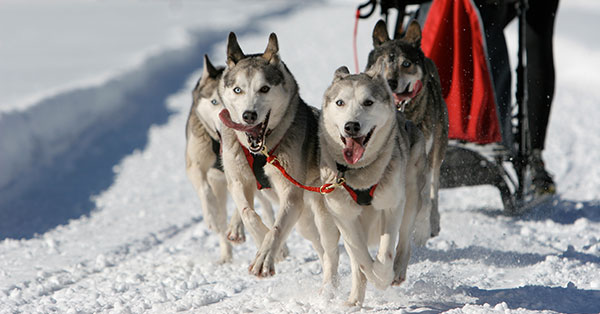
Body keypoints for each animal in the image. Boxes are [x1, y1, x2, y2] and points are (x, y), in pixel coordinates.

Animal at [184, 55, 276, 264]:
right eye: (214, 101)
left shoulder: (243, 174)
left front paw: (237, 226)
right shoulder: (195, 166)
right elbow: (205, 190)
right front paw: (210, 216)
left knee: (265, 209)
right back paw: (225, 253)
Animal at [217, 31, 340, 282]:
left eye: (264, 89)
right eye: (238, 90)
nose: (249, 115)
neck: (260, 151)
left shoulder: (290, 194)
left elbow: (276, 229)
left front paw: (265, 258)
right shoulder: (238, 181)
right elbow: (248, 213)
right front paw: (263, 239)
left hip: (318, 214)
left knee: (330, 251)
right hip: (304, 220)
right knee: (318, 245)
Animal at [322, 65, 428, 306]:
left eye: (368, 102)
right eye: (340, 102)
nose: (351, 126)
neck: (361, 175)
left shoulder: (391, 205)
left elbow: (386, 252)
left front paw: (382, 276)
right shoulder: (343, 216)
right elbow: (360, 257)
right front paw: (369, 277)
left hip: (410, 196)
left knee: (404, 240)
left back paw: (397, 271)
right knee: (350, 259)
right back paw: (352, 299)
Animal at [368, 20, 448, 236]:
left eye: (406, 64)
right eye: (383, 62)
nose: (391, 82)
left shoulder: (425, 156)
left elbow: (425, 196)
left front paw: (422, 227)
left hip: (438, 148)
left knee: (433, 188)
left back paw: (433, 222)